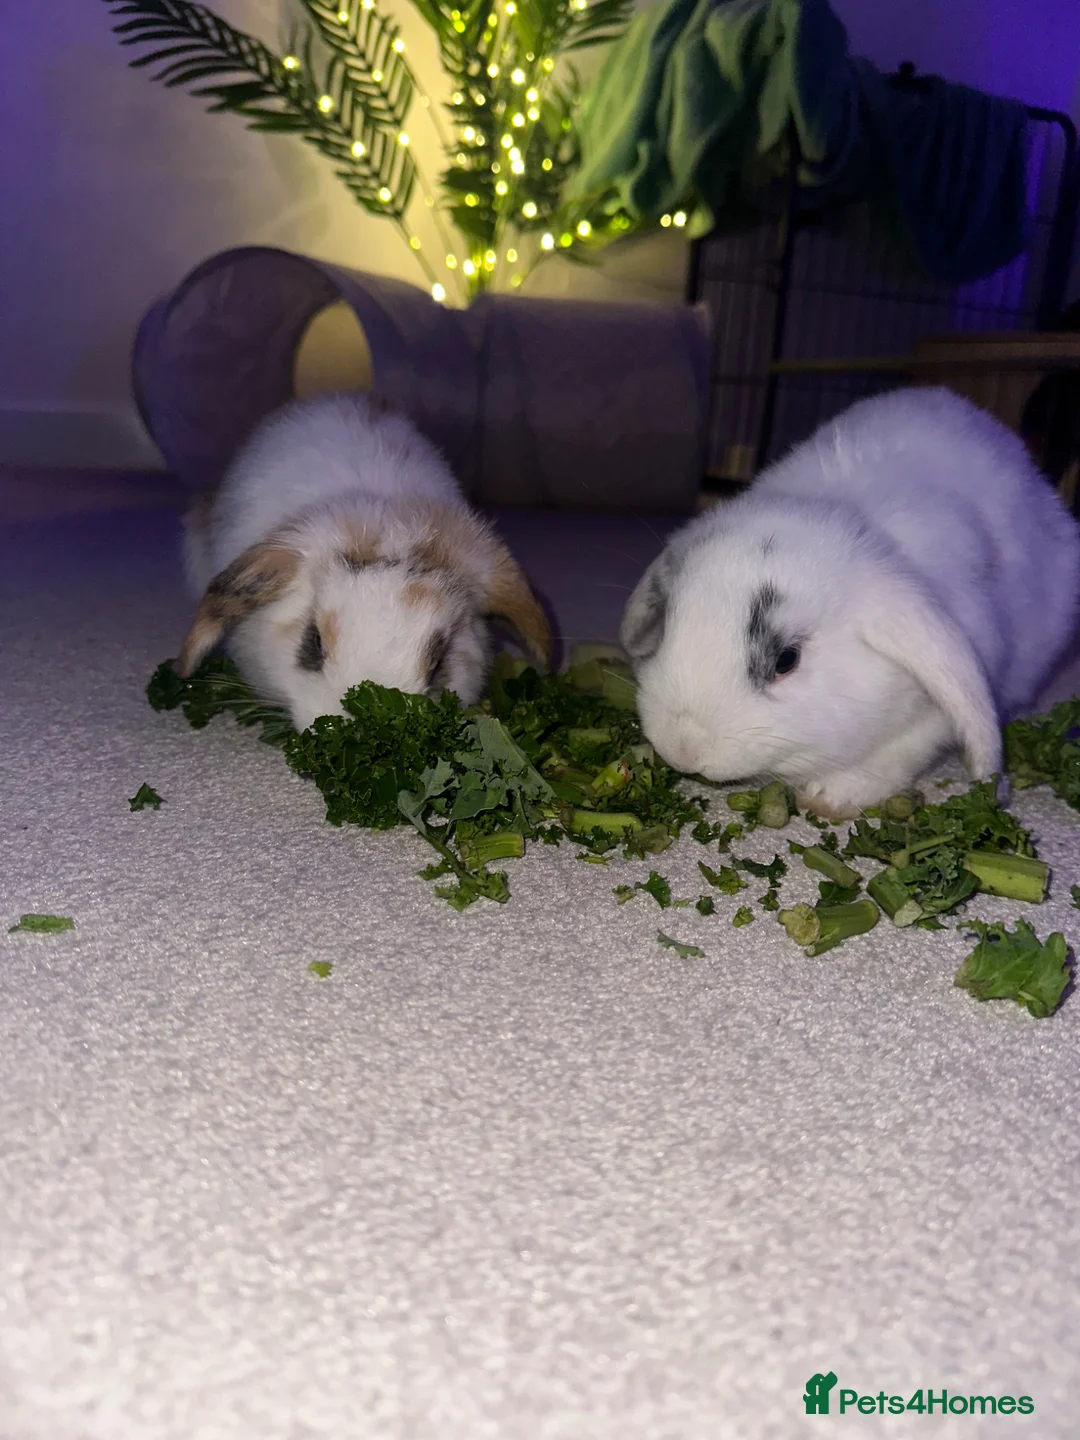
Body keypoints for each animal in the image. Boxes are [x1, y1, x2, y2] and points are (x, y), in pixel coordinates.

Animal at [620, 386, 1080, 819]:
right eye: (667, 628)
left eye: (786, 660)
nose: (683, 748)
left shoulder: (931, 716)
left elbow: (895, 756)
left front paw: (831, 796)